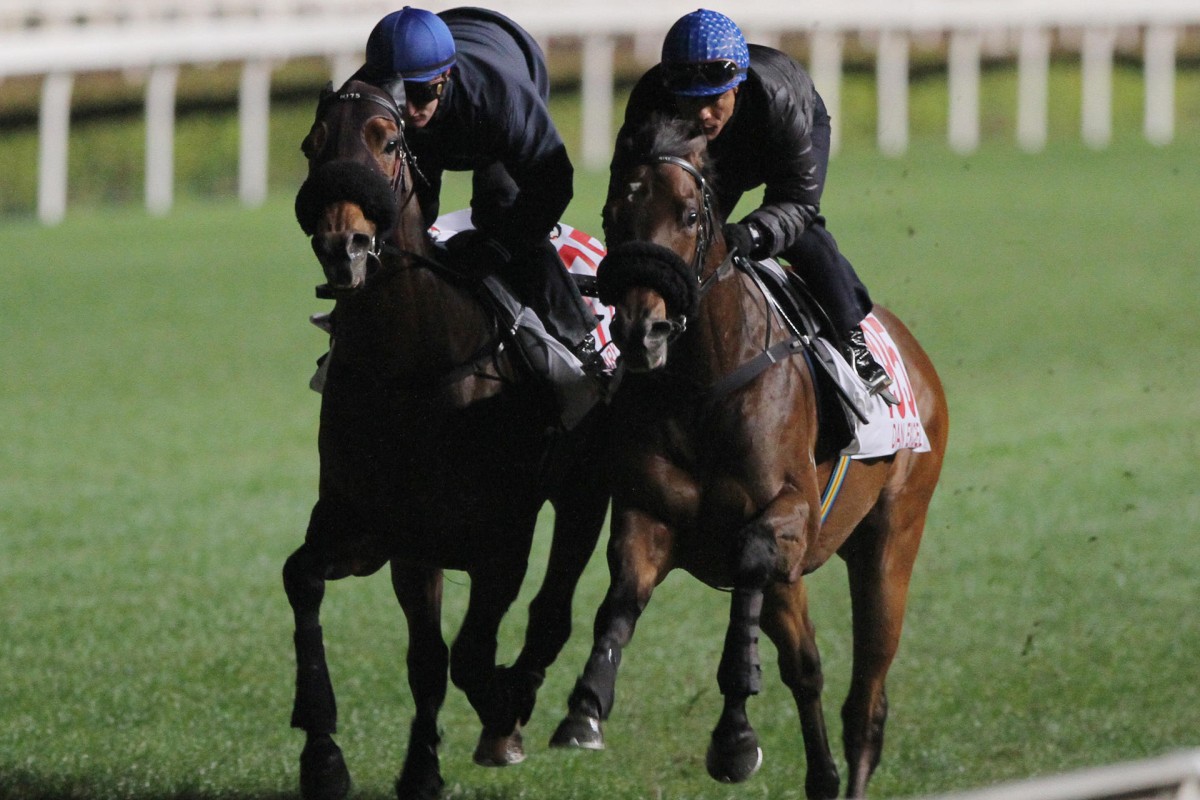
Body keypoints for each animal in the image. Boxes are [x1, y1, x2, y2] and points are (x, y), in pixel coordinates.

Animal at [282, 79, 609, 800]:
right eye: (312, 145)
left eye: (386, 141)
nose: (342, 246)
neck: (413, 364)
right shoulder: (384, 530)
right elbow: (316, 588)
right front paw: (333, 755)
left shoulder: (501, 539)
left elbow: (468, 655)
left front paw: (502, 717)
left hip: (585, 490)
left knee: (553, 608)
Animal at [549, 115, 950, 796]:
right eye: (612, 212)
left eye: (689, 215)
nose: (639, 330)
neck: (703, 383)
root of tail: (918, 359)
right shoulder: (649, 516)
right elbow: (621, 599)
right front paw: (585, 707)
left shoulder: (787, 519)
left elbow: (751, 565)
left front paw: (735, 737)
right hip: (802, 580)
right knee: (808, 670)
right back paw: (821, 777)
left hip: (893, 539)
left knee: (865, 702)